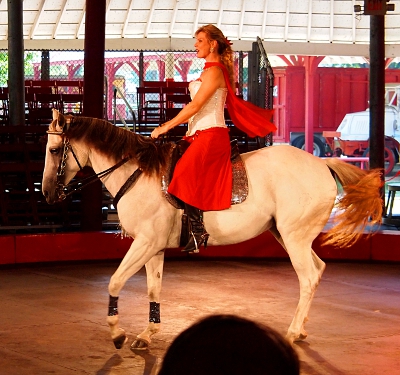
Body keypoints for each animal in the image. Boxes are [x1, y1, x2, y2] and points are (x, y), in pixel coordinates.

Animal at [42, 110, 382, 352]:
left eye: (55, 149)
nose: (46, 193)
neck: (138, 172)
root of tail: (323, 165)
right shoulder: (154, 246)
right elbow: (153, 288)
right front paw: (148, 333)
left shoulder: (144, 243)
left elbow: (114, 281)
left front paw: (117, 333)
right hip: (287, 235)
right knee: (318, 268)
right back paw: (302, 328)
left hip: (295, 237)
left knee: (308, 277)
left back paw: (292, 330)